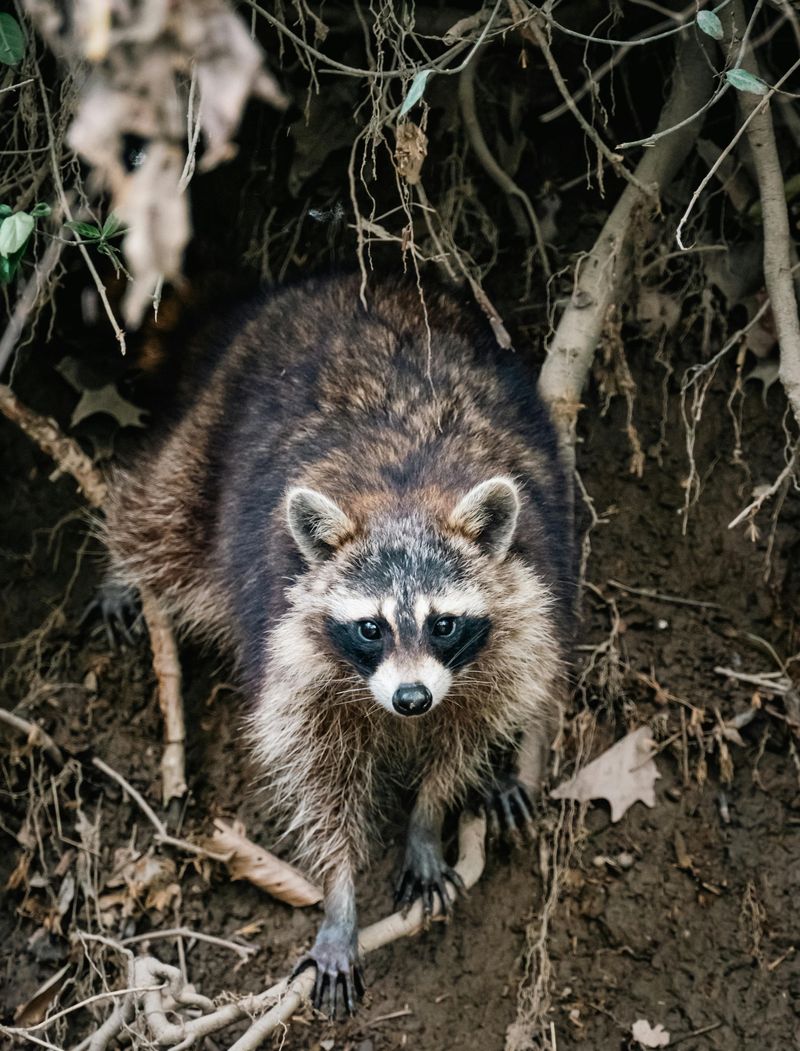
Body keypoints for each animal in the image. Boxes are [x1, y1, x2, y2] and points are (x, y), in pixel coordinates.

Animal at [103, 273, 574, 1014]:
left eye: (443, 623)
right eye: (371, 626)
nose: (411, 699)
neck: (405, 497)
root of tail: (339, 281)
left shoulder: (521, 615)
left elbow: (468, 730)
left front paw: (430, 816)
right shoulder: (294, 660)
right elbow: (319, 779)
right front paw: (339, 892)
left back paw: (502, 774)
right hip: (215, 422)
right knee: (164, 510)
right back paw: (124, 562)